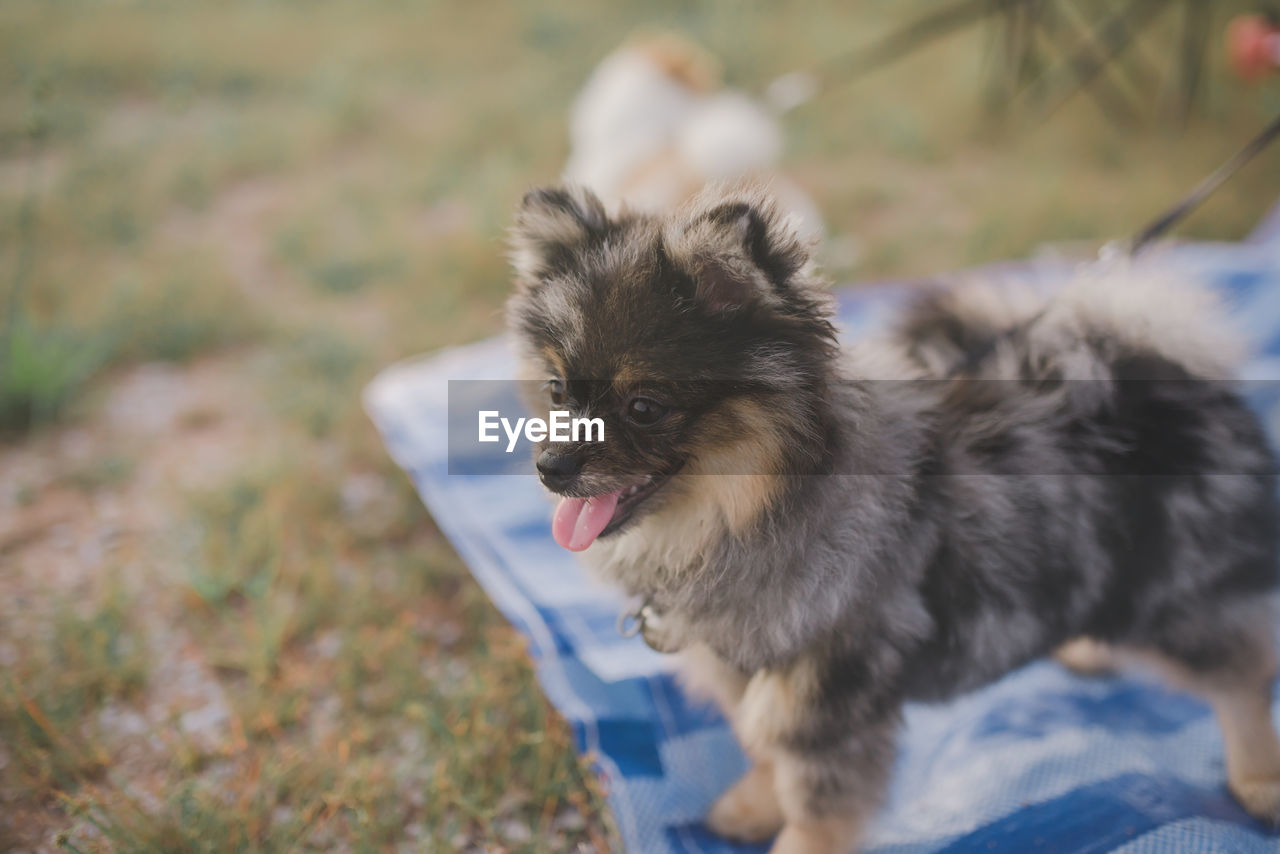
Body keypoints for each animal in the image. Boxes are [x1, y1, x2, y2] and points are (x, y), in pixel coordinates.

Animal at [501, 184, 1280, 850]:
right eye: (557, 390)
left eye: (644, 406)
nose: (551, 466)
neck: (738, 519)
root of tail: (1161, 372)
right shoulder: (748, 667)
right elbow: (762, 750)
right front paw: (752, 807)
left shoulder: (829, 696)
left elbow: (813, 808)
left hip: (1178, 599)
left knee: (1243, 674)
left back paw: (1257, 778)